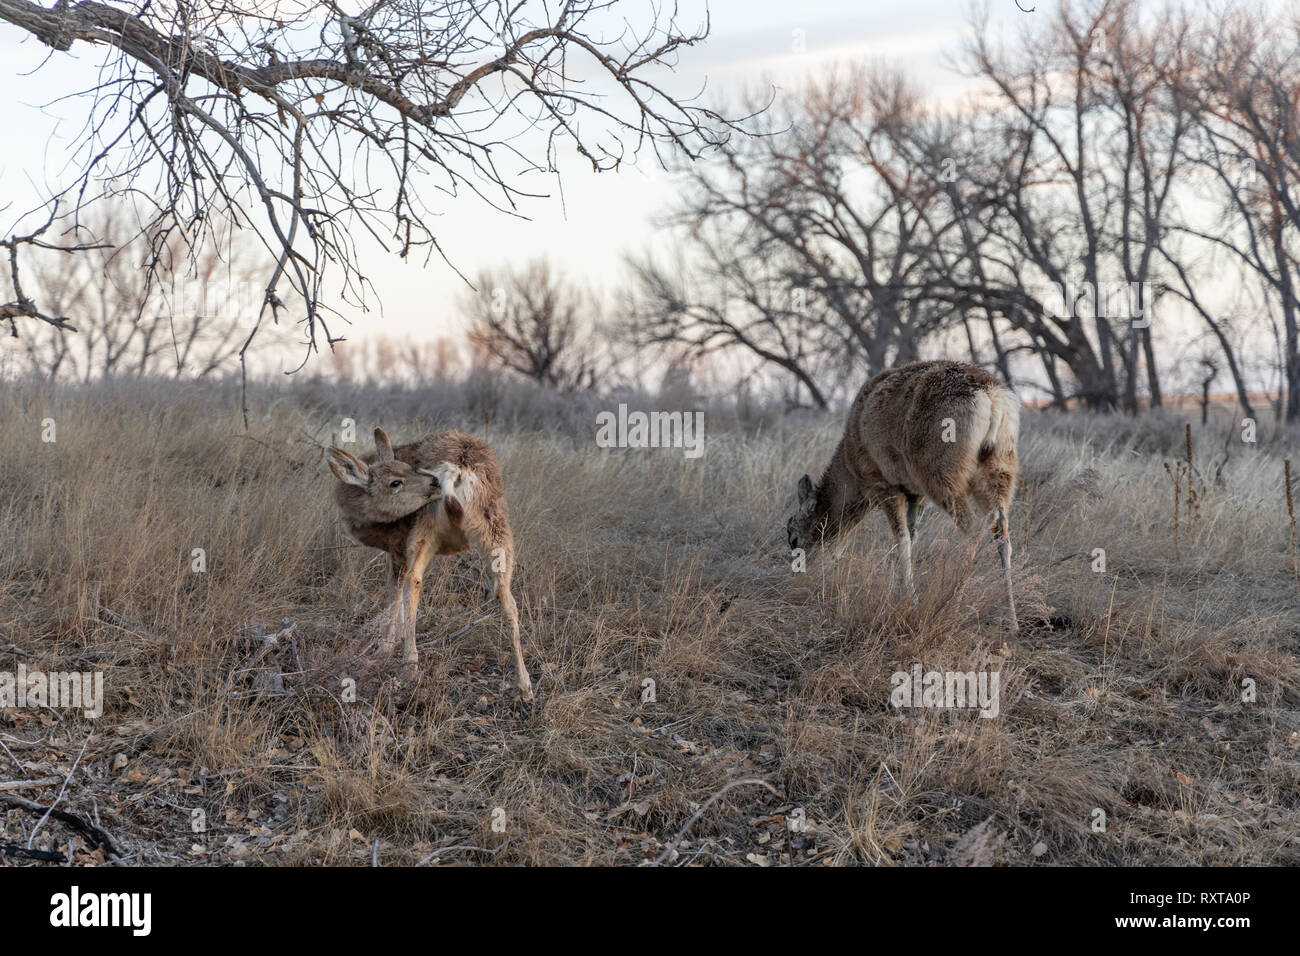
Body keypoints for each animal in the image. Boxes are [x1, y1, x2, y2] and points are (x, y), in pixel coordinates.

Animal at [325, 426, 533, 697]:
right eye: (397, 479)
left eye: (404, 473)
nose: (432, 481)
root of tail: (460, 471)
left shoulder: (398, 544)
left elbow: (393, 593)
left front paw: (385, 649)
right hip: (496, 527)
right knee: (506, 594)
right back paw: (524, 684)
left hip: (426, 524)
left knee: (413, 581)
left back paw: (410, 668)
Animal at [785, 356, 1019, 629]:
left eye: (793, 539)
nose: (798, 579)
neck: (851, 470)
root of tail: (992, 398)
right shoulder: (916, 493)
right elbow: (913, 535)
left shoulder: (883, 482)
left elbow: (902, 540)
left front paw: (909, 599)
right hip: (1001, 466)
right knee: (1002, 531)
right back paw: (1012, 620)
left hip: (941, 470)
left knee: (973, 529)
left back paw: (951, 606)